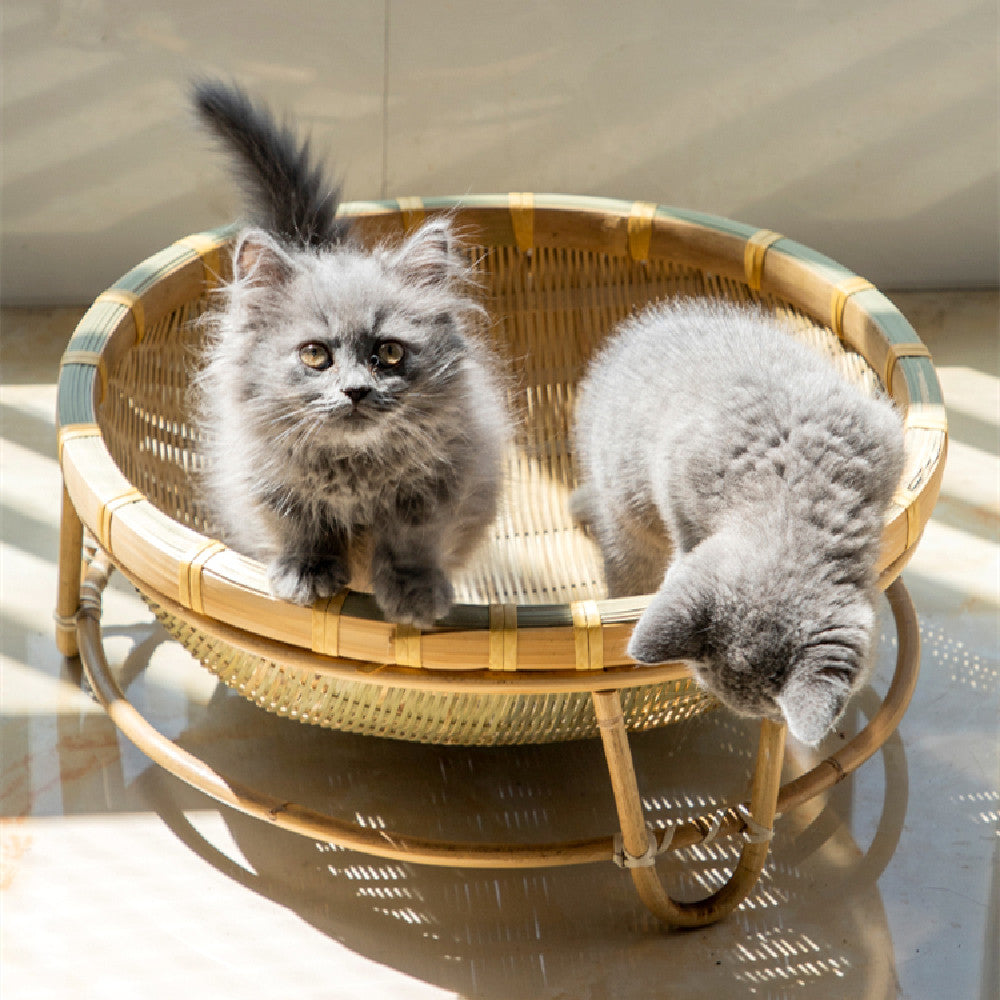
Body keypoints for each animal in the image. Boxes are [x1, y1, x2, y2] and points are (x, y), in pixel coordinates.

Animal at [192, 80, 512, 624]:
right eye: (315, 355)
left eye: (390, 352)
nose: (356, 390)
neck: (353, 472)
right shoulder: (267, 484)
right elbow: (299, 530)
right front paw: (305, 575)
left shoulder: (441, 486)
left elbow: (413, 544)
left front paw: (415, 594)